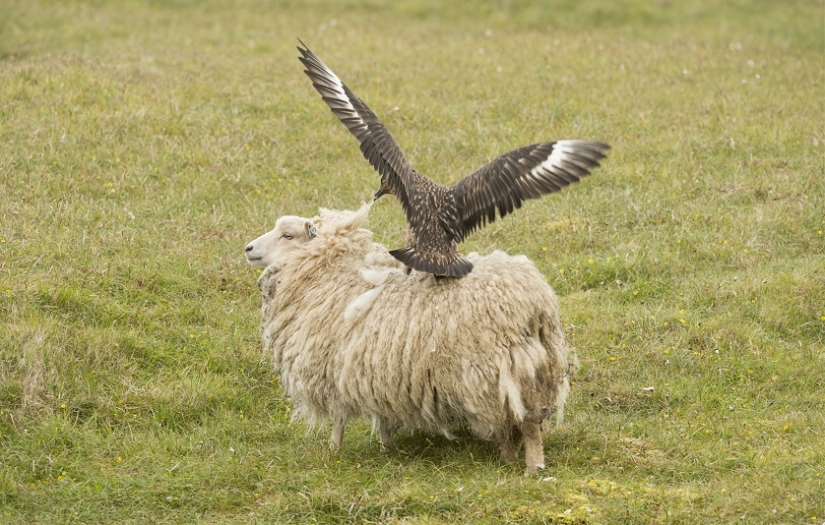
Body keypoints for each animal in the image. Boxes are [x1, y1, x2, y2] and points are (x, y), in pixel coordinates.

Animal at [244, 203, 578, 474]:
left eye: (288, 236)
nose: (248, 248)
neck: (333, 278)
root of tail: (537, 300)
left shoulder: (334, 371)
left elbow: (338, 419)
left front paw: (333, 451)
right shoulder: (375, 374)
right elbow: (382, 416)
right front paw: (386, 447)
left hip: (506, 370)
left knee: (527, 423)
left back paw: (532, 466)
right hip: (526, 370)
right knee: (514, 422)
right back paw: (507, 458)